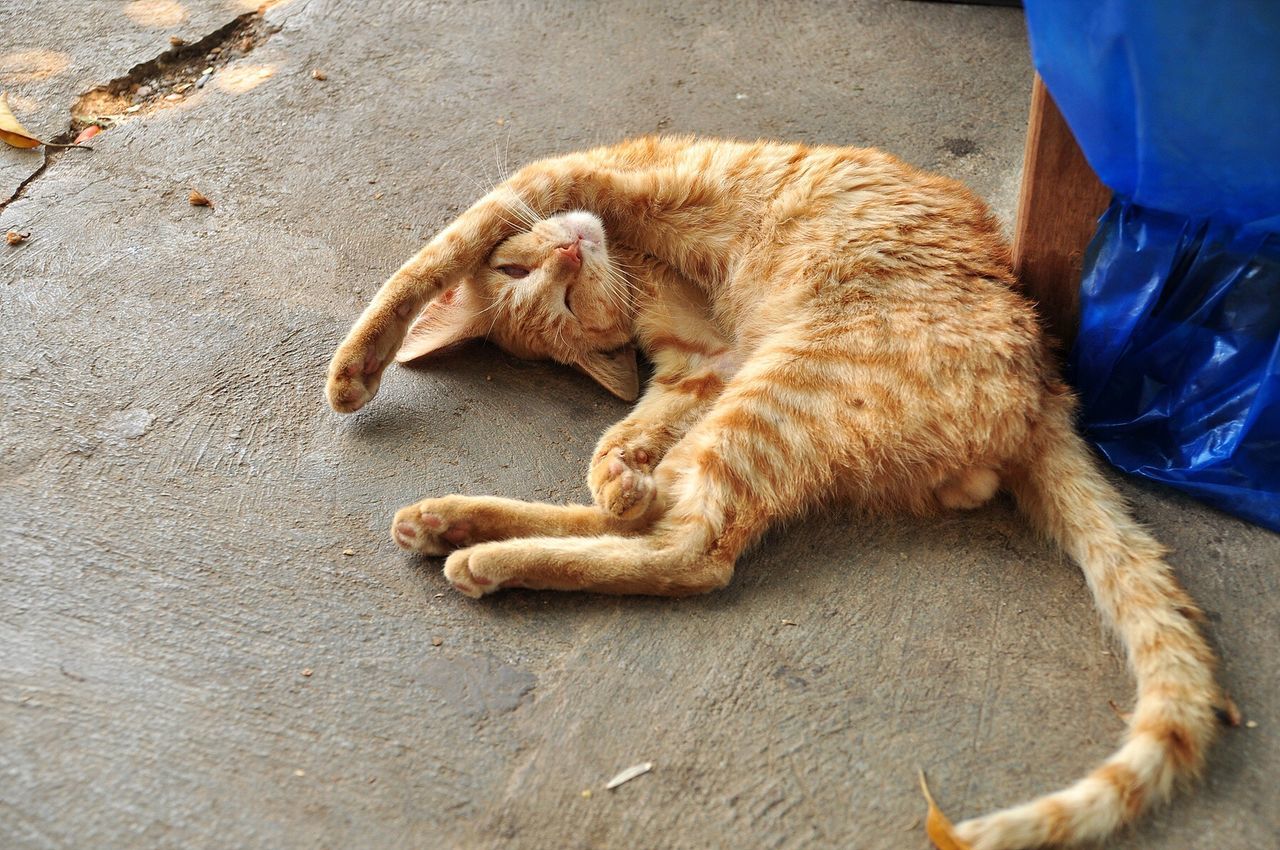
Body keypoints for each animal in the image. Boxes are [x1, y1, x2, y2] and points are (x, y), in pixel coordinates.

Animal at [320, 136, 1218, 844]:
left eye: (547, 280)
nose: (572, 253)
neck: (639, 258)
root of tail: (1046, 387)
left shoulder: (578, 181)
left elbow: (432, 254)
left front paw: (357, 368)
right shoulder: (702, 361)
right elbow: (623, 437)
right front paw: (617, 469)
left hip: (775, 395)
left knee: (693, 552)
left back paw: (486, 553)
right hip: (761, 403)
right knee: (673, 527)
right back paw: (455, 523)